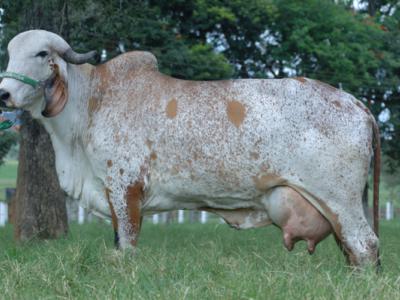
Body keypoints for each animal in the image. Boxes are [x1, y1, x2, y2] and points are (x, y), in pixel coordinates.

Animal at [0, 30, 380, 268]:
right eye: (10, 53)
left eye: (42, 53)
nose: (4, 93)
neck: (93, 102)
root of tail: (357, 104)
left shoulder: (124, 188)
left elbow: (127, 245)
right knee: (353, 250)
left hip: (340, 198)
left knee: (365, 246)